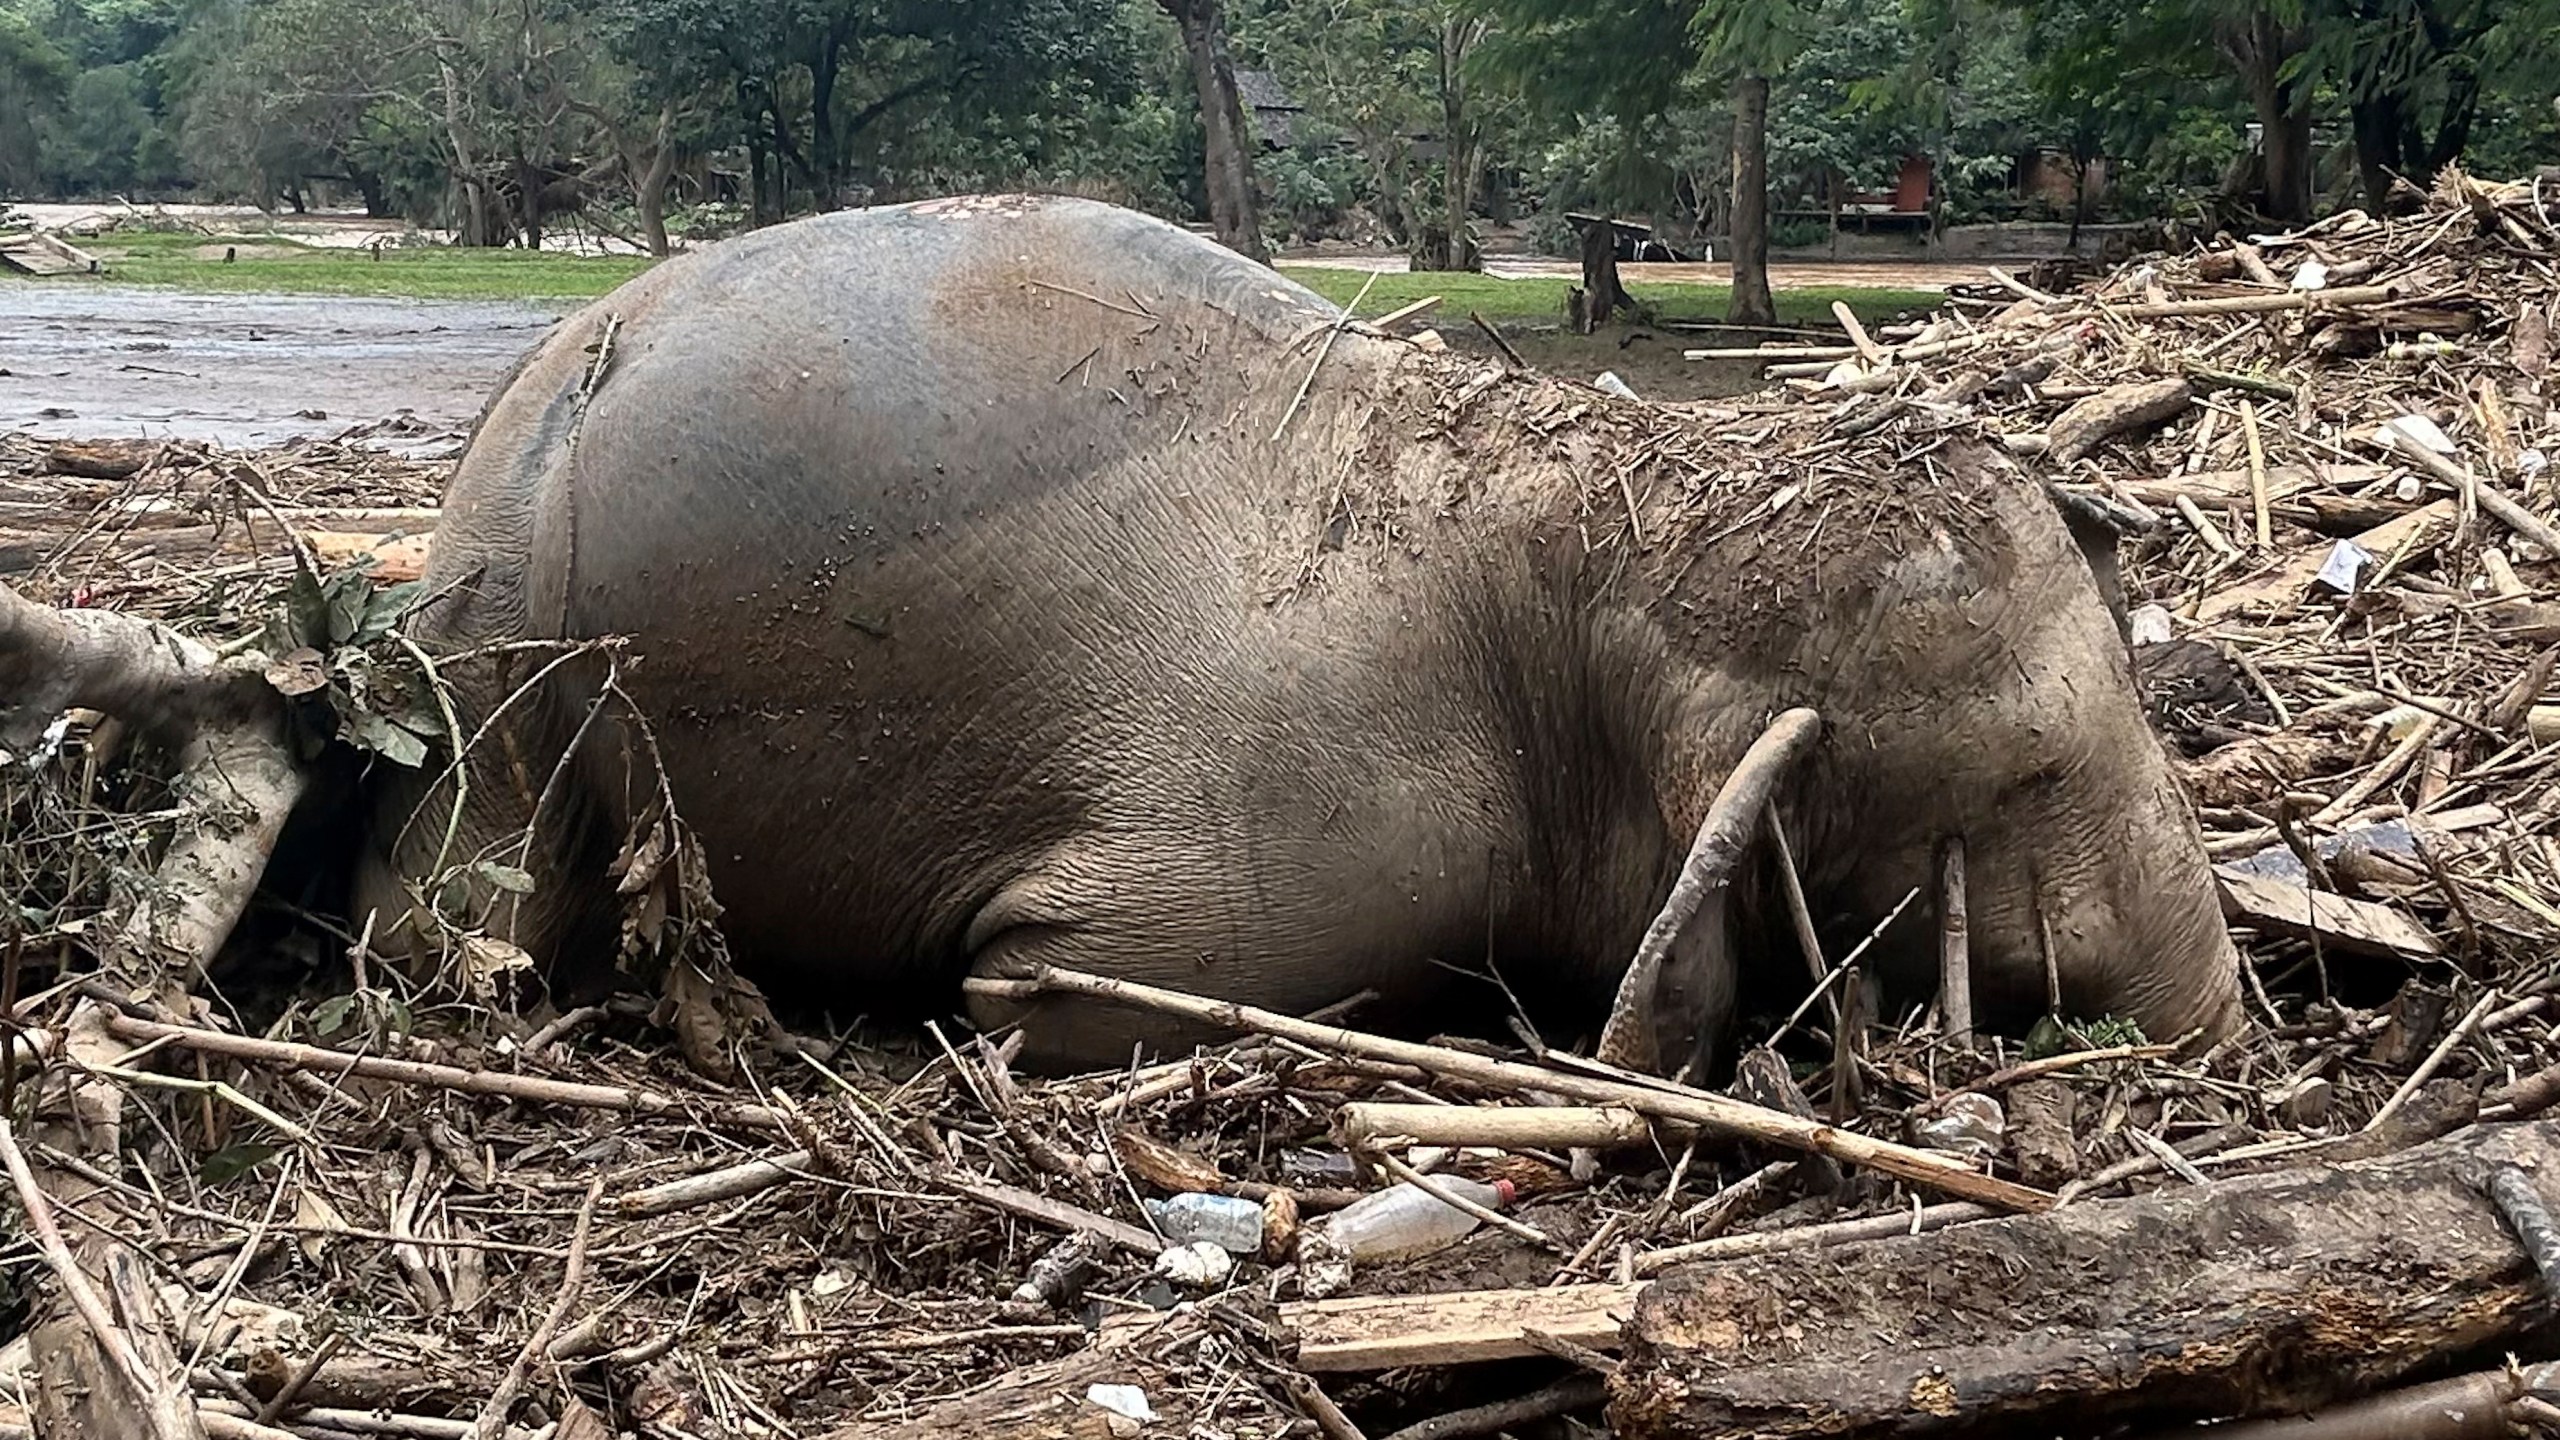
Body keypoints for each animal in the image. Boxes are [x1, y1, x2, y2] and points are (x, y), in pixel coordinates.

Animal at [5, 193, 2242, 1065]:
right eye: (2028, 773)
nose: (2233, 1018)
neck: (1593, 513)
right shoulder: (1321, 832)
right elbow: (1068, 983)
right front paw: (975, 1008)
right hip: (510, 675)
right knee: (457, 909)